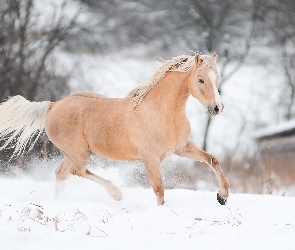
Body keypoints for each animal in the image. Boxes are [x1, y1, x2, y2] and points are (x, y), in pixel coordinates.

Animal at [0, 52, 230, 205]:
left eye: (217, 78)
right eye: (201, 79)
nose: (218, 108)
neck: (161, 112)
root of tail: (53, 105)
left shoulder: (181, 148)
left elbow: (212, 160)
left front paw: (223, 196)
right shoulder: (150, 157)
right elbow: (159, 189)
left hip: (72, 153)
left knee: (62, 173)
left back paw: (59, 203)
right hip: (79, 153)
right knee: (76, 171)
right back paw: (116, 194)